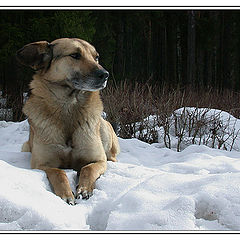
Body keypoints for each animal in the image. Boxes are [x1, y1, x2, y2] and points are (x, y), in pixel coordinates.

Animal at [16, 37, 120, 204]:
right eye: (75, 55)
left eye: (96, 57)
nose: (105, 74)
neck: (69, 108)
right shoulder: (41, 164)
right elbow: (59, 173)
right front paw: (66, 195)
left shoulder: (98, 160)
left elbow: (87, 168)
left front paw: (84, 189)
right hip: (26, 146)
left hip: (104, 130)